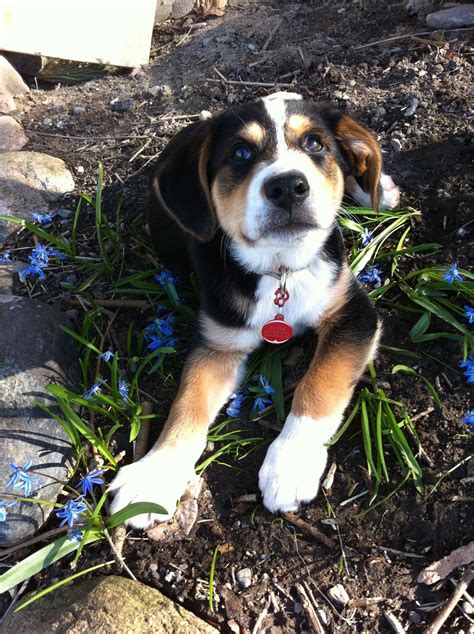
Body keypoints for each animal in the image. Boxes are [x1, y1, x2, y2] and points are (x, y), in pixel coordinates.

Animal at [111, 91, 400, 524]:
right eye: (240, 152)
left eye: (315, 144)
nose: (288, 187)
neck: (279, 268)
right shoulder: (219, 342)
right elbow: (187, 405)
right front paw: (153, 476)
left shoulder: (352, 312)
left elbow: (319, 384)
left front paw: (290, 464)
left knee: (358, 169)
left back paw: (377, 186)